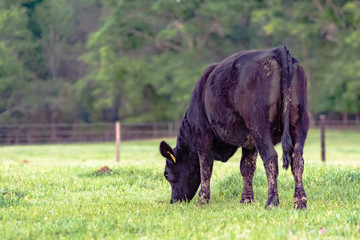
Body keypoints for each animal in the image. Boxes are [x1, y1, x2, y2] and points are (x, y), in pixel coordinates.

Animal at [160, 46, 310, 209]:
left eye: (166, 174)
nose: (174, 200)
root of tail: (276, 50)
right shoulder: (249, 141)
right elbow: (247, 167)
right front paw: (246, 200)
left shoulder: (202, 132)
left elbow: (205, 166)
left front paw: (202, 200)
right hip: (300, 121)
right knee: (298, 159)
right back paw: (300, 202)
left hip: (259, 124)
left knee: (271, 157)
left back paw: (271, 202)